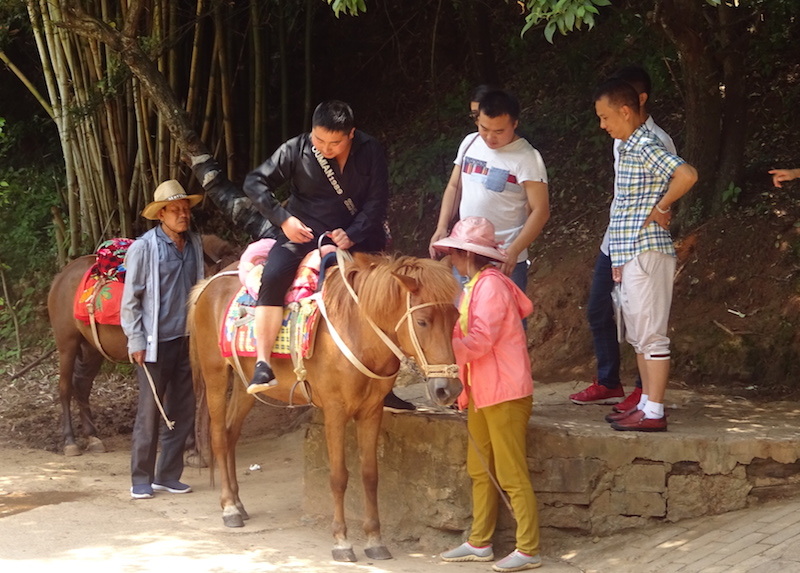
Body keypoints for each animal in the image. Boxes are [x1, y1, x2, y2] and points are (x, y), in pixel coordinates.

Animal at [47, 233, 238, 456]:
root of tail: (60, 277)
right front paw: (188, 445)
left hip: (91, 349)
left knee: (82, 386)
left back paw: (92, 437)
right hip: (67, 344)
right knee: (65, 387)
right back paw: (70, 441)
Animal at [188, 252, 462, 560]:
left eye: (455, 318)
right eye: (423, 321)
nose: (448, 389)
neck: (358, 333)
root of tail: (209, 283)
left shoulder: (371, 412)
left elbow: (370, 475)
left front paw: (375, 540)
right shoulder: (334, 411)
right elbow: (339, 477)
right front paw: (342, 541)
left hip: (246, 383)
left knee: (231, 434)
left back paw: (238, 502)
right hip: (215, 374)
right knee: (219, 437)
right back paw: (229, 508)